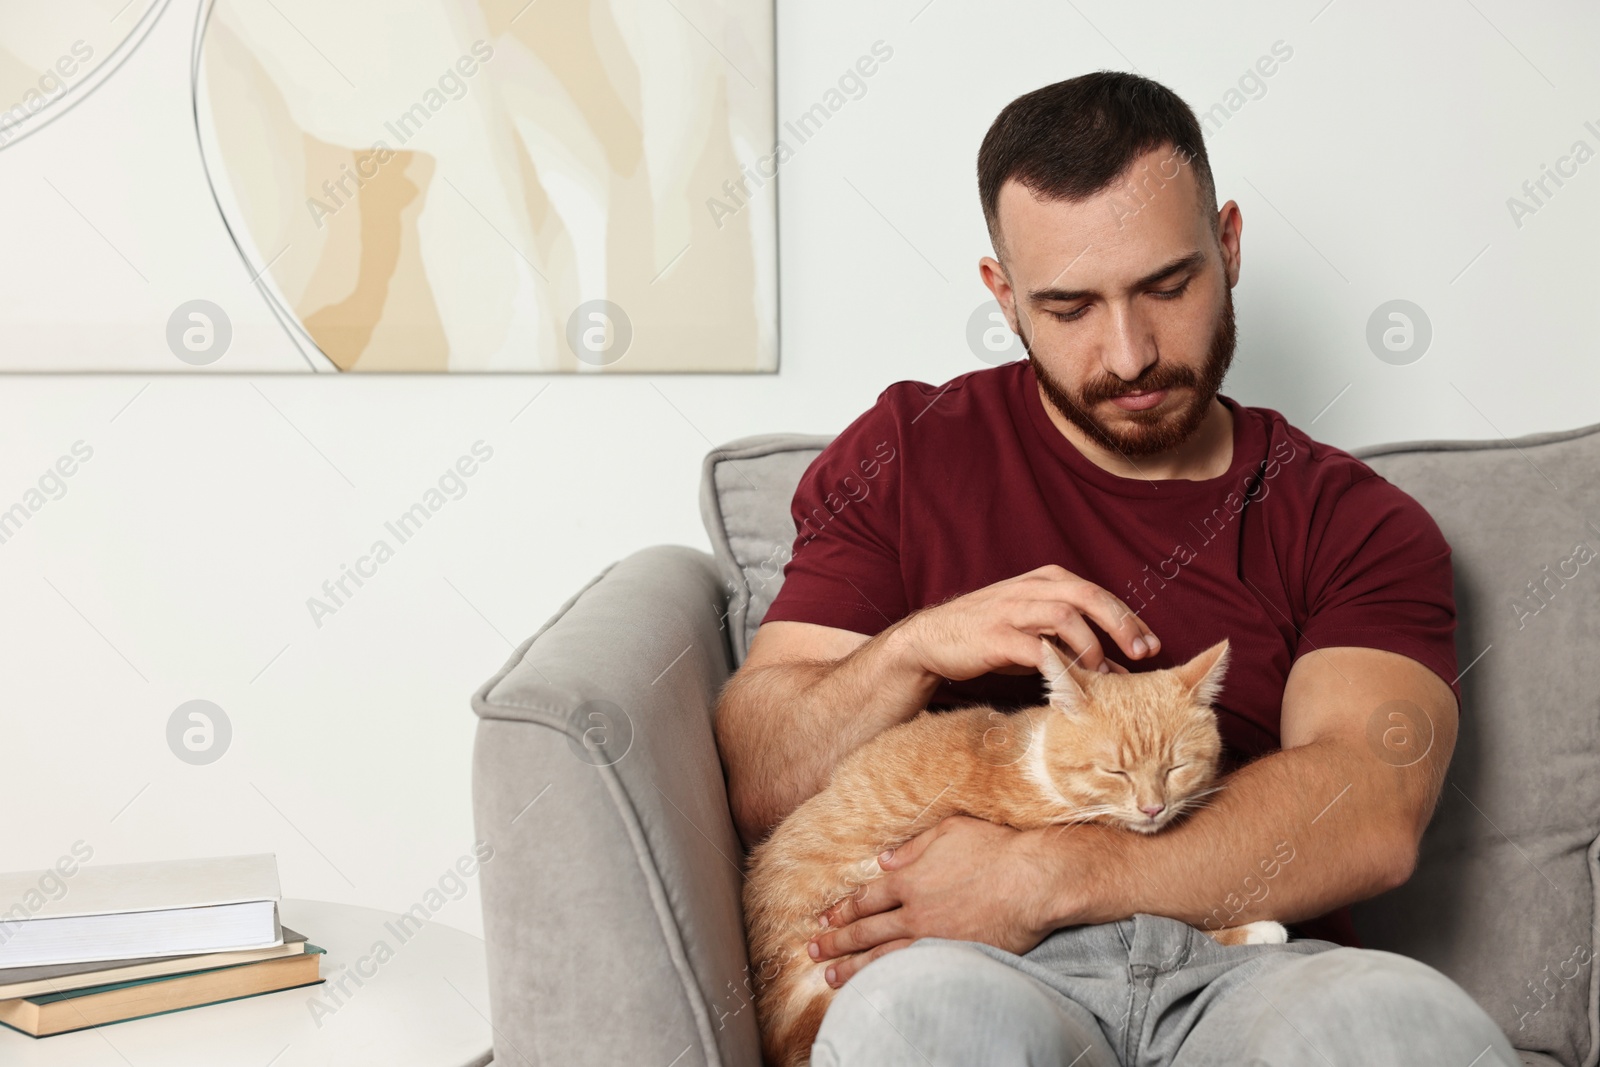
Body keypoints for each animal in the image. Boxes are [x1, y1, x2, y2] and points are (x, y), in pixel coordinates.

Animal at [745, 639, 1286, 1062]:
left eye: (1176, 767)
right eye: (1115, 771)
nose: (1153, 807)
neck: (1040, 766)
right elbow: (1180, 923)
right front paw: (1258, 929)